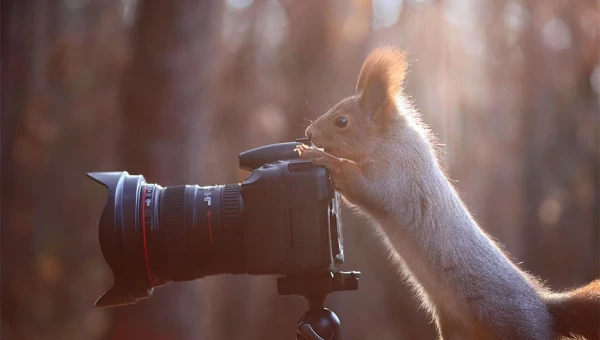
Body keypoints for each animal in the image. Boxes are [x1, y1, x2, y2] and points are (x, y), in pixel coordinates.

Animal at [294, 45, 600, 340]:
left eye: (341, 121)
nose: (308, 133)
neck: (389, 138)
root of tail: (545, 311)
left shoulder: (395, 174)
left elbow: (362, 184)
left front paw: (317, 156)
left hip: (512, 324)